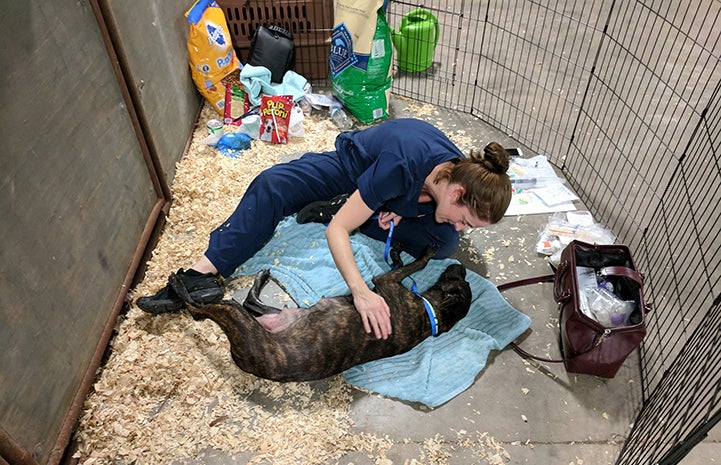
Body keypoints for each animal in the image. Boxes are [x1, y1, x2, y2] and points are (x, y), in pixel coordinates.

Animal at [169, 243, 472, 380]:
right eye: (462, 280)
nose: (462, 267)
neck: (432, 315)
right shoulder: (388, 281)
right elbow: (402, 265)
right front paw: (397, 252)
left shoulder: (385, 282)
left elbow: (416, 265)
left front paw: (427, 252)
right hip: (284, 313)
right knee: (250, 302)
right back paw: (263, 276)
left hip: (237, 319)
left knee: (201, 309)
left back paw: (180, 285)